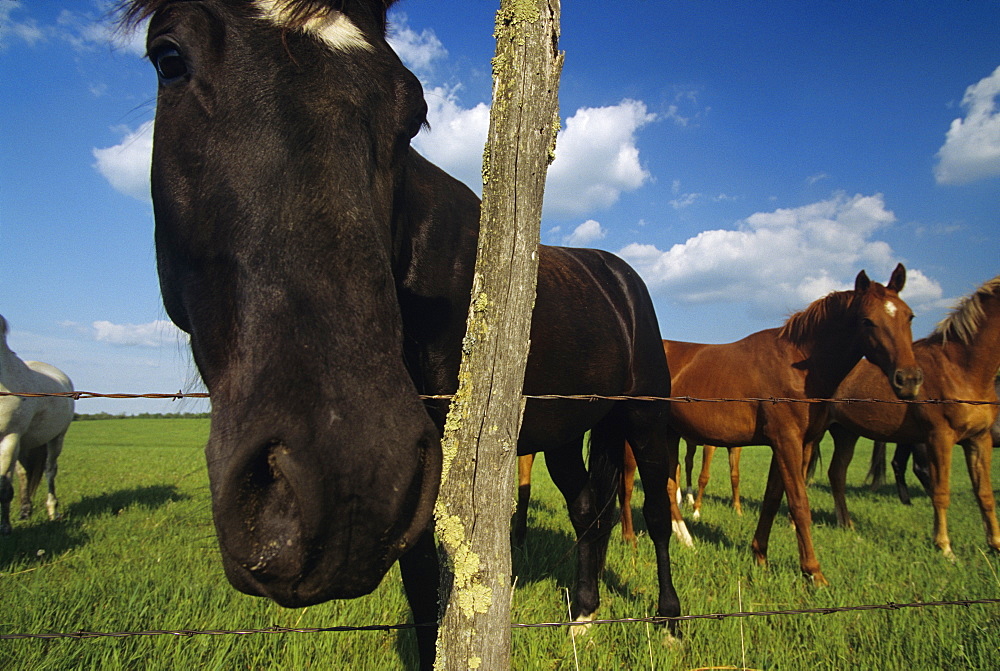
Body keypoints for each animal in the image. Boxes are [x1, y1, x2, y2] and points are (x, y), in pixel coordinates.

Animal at [0, 316, 73, 536]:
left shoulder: (10, 438)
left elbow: (3, 487)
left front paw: (5, 527)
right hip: (26, 444)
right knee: (24, 474)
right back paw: (25, 511)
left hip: (55, 439)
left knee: (50, 471)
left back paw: (53, 511)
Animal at [119, 0, 680, 668]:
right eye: (169, 59)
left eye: (414, 111)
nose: (343, 481)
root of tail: (618, 274)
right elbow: (421, 594)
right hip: (566, 432)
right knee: (590, 511)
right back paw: (583, 619)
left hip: (645, 416)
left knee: (654, 510)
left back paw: (670, 623)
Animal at [820, 276, 1000, 560]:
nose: (909, 381)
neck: (960, 369)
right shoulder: (939, 438)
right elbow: (941, 491)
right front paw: (944, 547)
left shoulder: (979, 439)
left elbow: (985, 494)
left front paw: (995, 544)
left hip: (846, 433)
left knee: (836, 473)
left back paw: (846, 524)